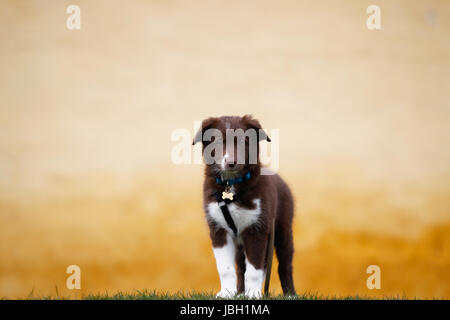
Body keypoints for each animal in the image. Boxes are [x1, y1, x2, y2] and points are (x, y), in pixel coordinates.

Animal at [192, 114, 296, 298]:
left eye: (243, 141)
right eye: (217, 141)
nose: (231, 162)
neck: (231, 185)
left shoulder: (256, 229)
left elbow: (254, 269)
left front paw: (253, 294)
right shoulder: (219, 229)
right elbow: (226, 268)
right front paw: (227, 293)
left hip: (282, 229)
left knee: (284, 264)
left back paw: (290, 294)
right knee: (242, 267)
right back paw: (240, 292)